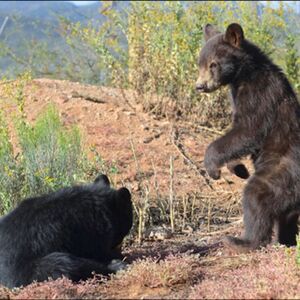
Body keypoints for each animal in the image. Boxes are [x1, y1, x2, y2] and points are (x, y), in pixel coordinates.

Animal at [0, 175, 132, 288]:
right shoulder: (88, 231)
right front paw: (117, 257)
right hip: (29, 267)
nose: (119, 246)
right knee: (64, 264)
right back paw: (116, 266)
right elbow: (96, 250)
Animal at [196, 22, 300, 251]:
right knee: (287, 216)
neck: (243, 75)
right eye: (200, 63)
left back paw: (242, 241)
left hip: (282, 172)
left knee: (256, 196)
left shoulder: (259, 95)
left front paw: (212, 168)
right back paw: (285, 240)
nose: (199, 86)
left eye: (213, 64)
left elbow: (248, 131)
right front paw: (237, 168)